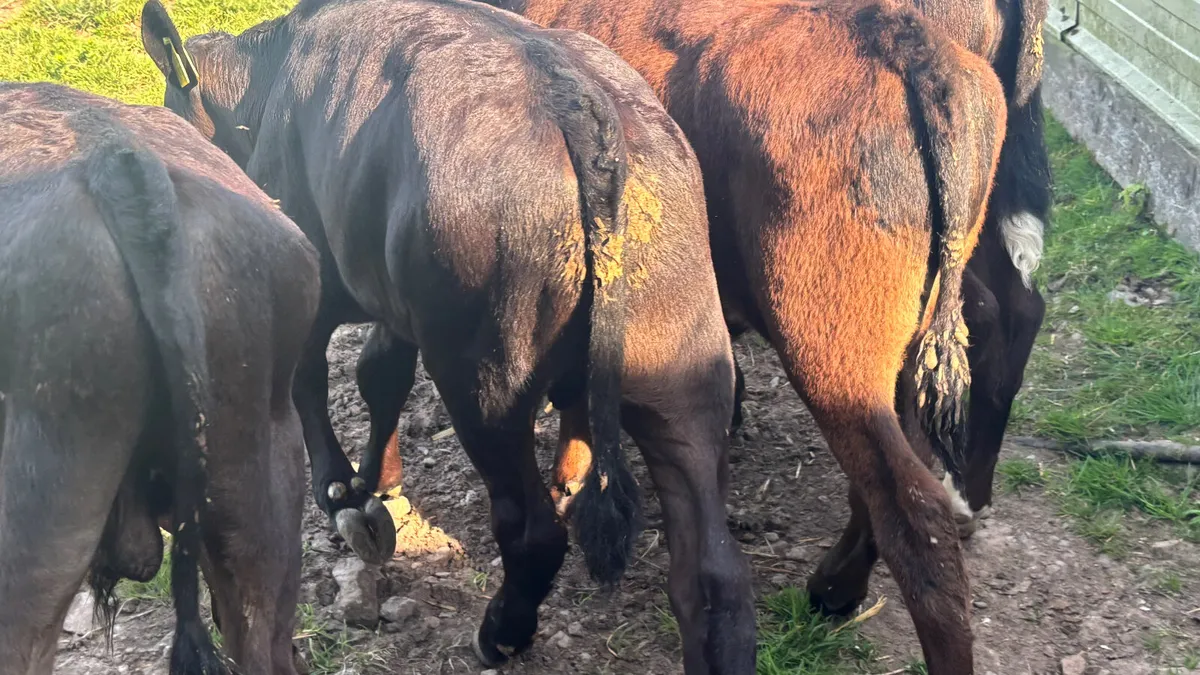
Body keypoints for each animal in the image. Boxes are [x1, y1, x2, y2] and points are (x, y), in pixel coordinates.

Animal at [138, 0, 755, 671]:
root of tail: (579, 107)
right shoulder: (393, 297)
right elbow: (379, 375)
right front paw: (377, 479)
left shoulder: (314, 271)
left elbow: (313, 380)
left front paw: (341, 489)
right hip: (686, 376)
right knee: (713, 573)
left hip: (484, 381)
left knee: (533, 529)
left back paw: (501, 631)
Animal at [463, 0, 1009, 672]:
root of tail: (904, 45)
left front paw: (571, 472)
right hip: (916, 334)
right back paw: (836, 584)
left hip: (830, 350)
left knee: (914, 514)